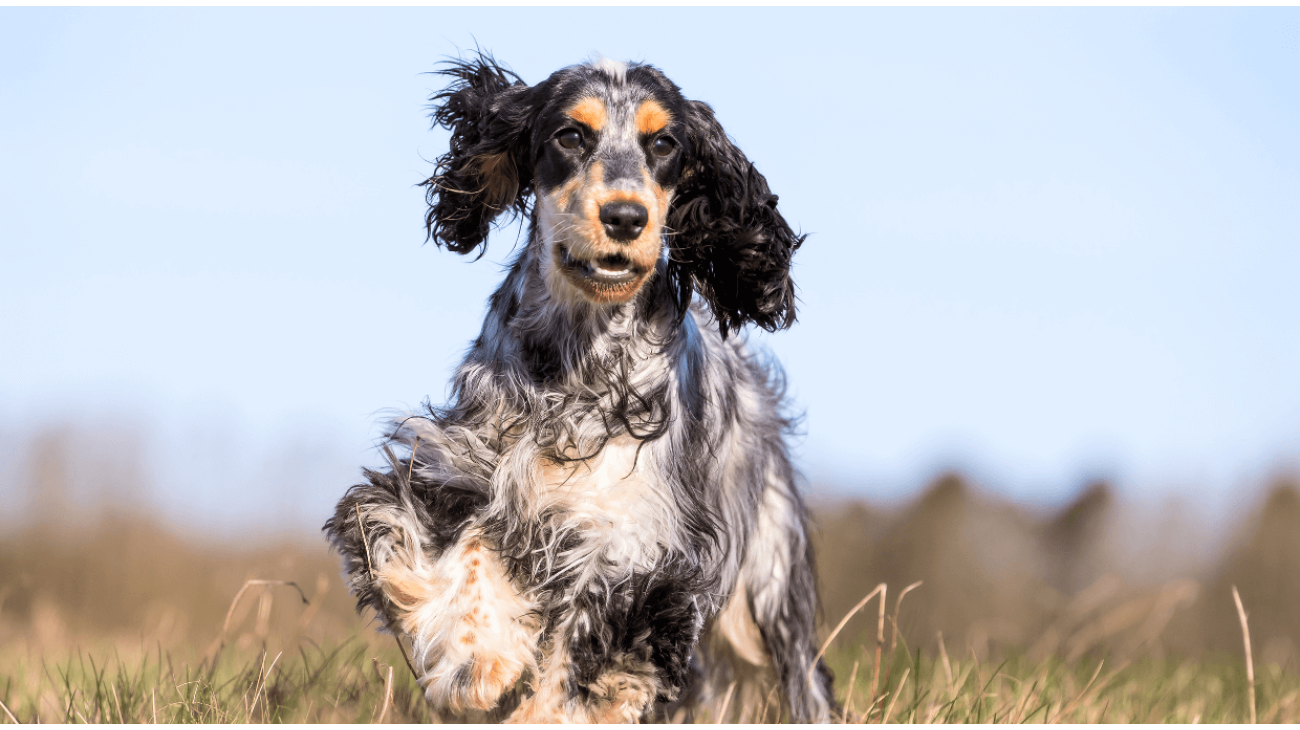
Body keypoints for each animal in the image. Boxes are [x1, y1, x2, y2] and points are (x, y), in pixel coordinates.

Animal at [321, 53, 837, 717]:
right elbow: (463, 548)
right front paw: (476, 657)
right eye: (571, 135)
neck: (577, 359)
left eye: (664, 144)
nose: (625, 216)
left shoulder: (638, 553)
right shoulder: (454, 475)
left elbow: (578, 668)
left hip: (767, 598)